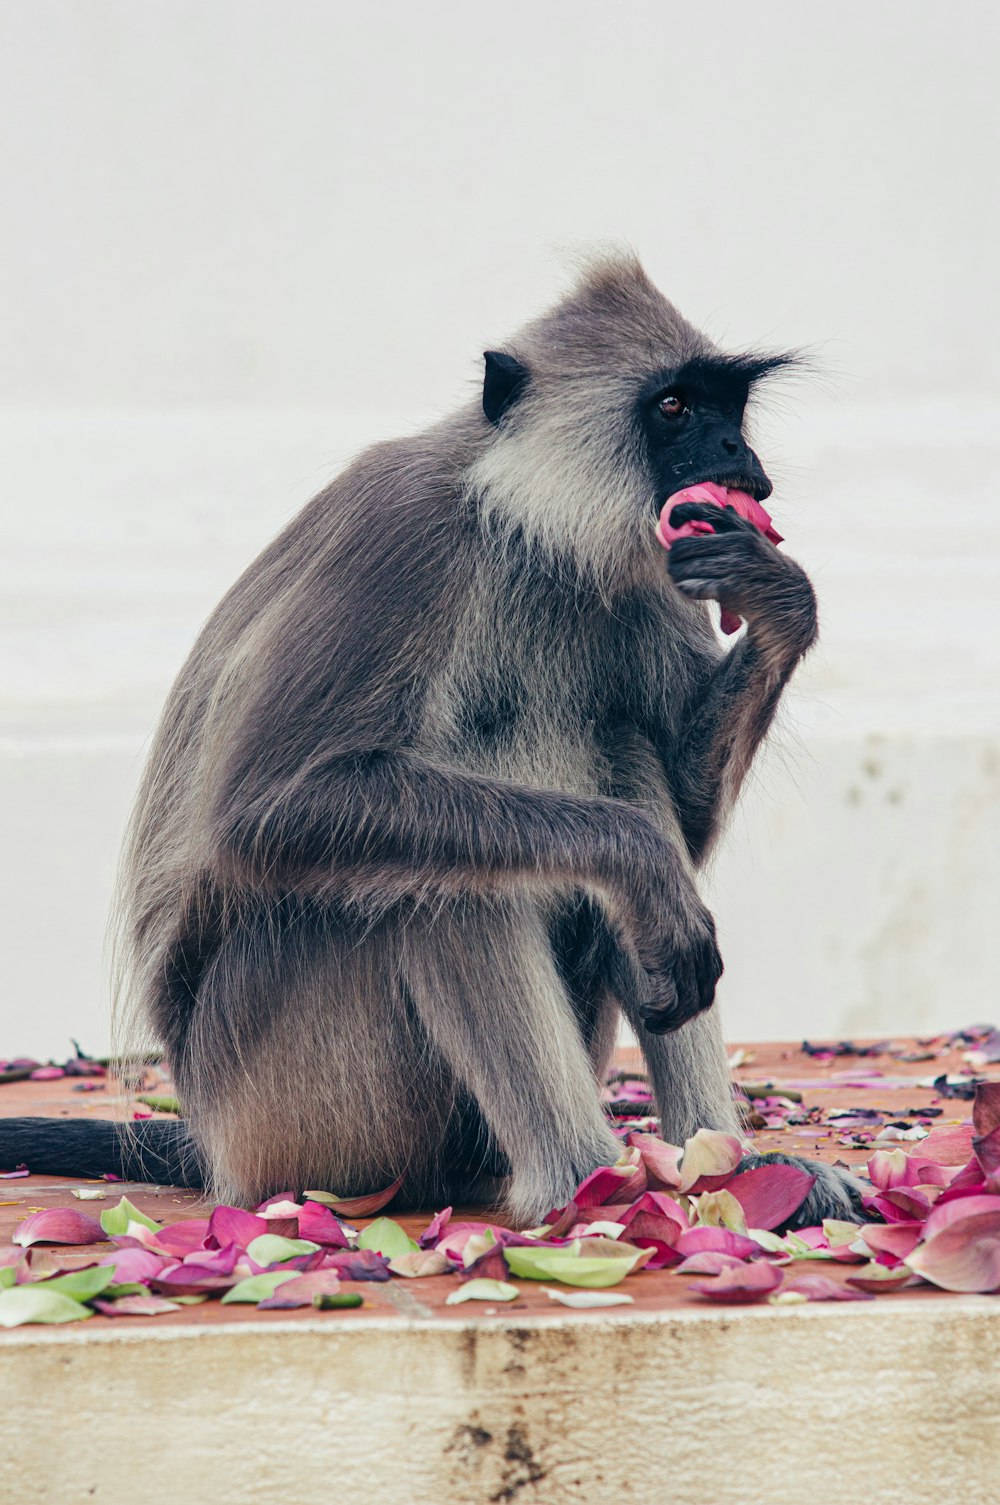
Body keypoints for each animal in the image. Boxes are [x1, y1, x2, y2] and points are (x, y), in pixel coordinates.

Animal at [0, 255, 861, 1222]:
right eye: (675, 407)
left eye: (730, 409)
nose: (734, 457)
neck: (522, 526)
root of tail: (215, 1143)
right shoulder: (403, 529)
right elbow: (264, 809)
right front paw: (641, 859)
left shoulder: (648, 570)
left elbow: (682, 810)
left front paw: (780, 596)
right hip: (284, 1108)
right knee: (439, 873)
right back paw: (585, 1183)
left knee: (614, 758)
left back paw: (728, 1168)